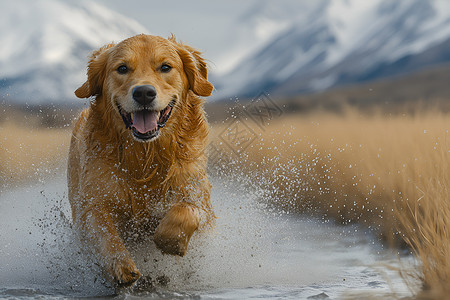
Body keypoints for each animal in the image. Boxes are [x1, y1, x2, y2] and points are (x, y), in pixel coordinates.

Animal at [67, 34, 214, 286]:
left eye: (165, 67)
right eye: (122, 68)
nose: (144, 92)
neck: (146, 157)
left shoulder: (199, 197)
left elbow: (185, 210)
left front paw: (169, 240)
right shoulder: (92, 203)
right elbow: (105, 232)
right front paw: (122, 267)